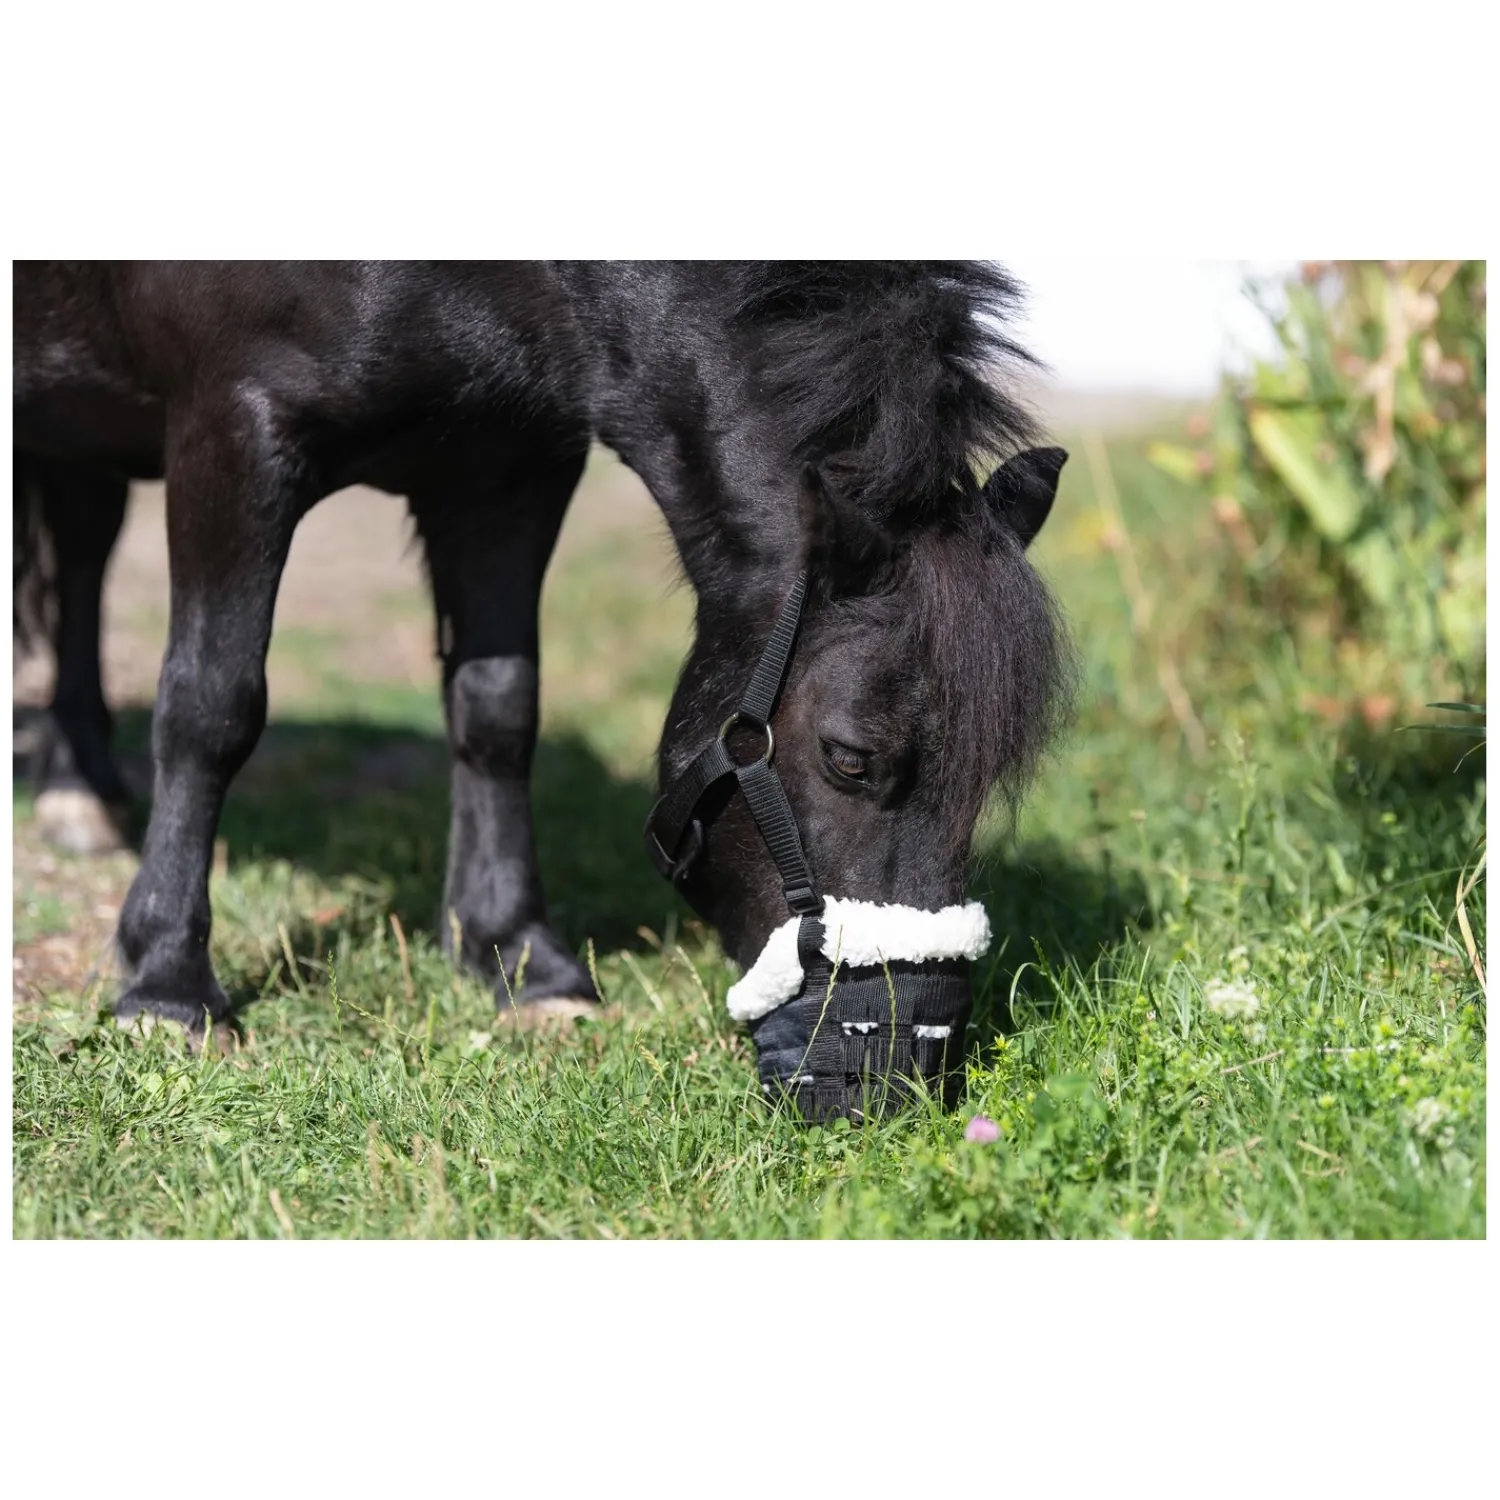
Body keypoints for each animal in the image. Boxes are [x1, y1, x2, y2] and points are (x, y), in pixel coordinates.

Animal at [12, 261, 1073, 1122]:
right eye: (851, 758)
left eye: (989, 779)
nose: (903, 1067)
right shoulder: (234, 429)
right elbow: (213, 706)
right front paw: (168, 985)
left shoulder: (506, 469)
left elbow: (498, 708)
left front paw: (519, 958)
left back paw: (80, 790)